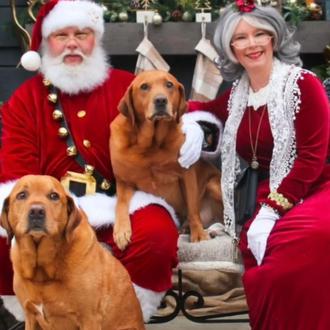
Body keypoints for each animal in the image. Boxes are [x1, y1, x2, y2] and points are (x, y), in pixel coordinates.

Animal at [0, 174, 144, 328]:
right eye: (22, 195)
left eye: (54, 196)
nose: (37, 211)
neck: (43, 273)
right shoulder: (30, 316)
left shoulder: (89, 318)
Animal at [109, 69, 223, 250]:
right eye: (144, 87)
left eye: (169, 84)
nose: (161, 100)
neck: (151, 145)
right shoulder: (123, 181)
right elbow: (120, 204)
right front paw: (121, 231)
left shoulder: (187, 176)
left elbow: (193, 208)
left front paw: (198, 234)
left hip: (214, 185)